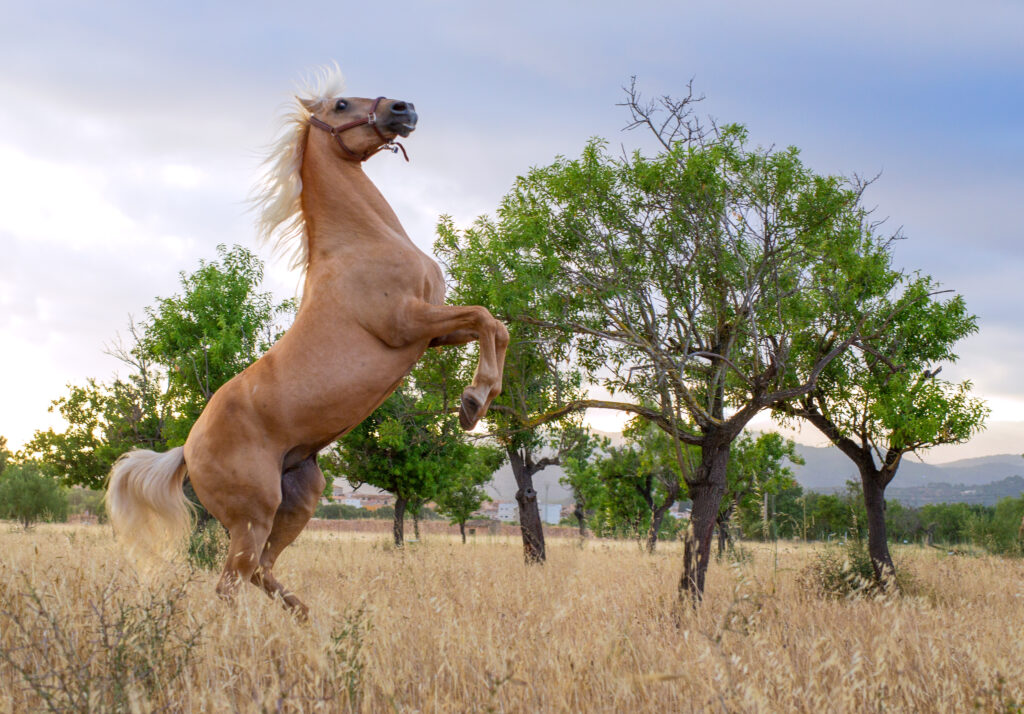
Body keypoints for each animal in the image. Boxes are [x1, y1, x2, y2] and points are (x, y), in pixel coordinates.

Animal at [106, 66, 509, 617]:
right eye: (340, 105)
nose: (404, 108)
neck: (361, 242)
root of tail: (186, 449)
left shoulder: (434, 333)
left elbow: (495, 325)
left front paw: (477, 401)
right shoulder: (406, 324)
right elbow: (487, 318)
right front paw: (473, 402)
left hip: (300, 497)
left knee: (262, 570)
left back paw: (306, 617)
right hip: (253, 515)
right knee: (231, 581)